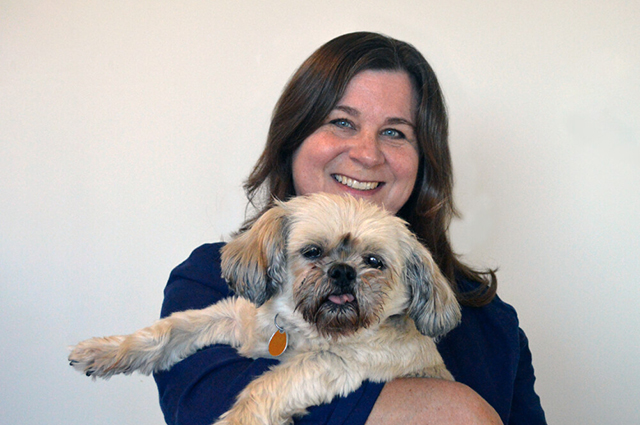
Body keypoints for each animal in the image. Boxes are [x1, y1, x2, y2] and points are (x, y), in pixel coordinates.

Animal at [69, 193, 460, 424]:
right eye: (313, 251)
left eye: (375, 262)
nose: (343, 271)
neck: (304, 330)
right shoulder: (237, 319)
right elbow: (171, 328)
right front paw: (107, 351)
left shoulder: (341, 362)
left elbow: (267, 384)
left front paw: (238, 420)